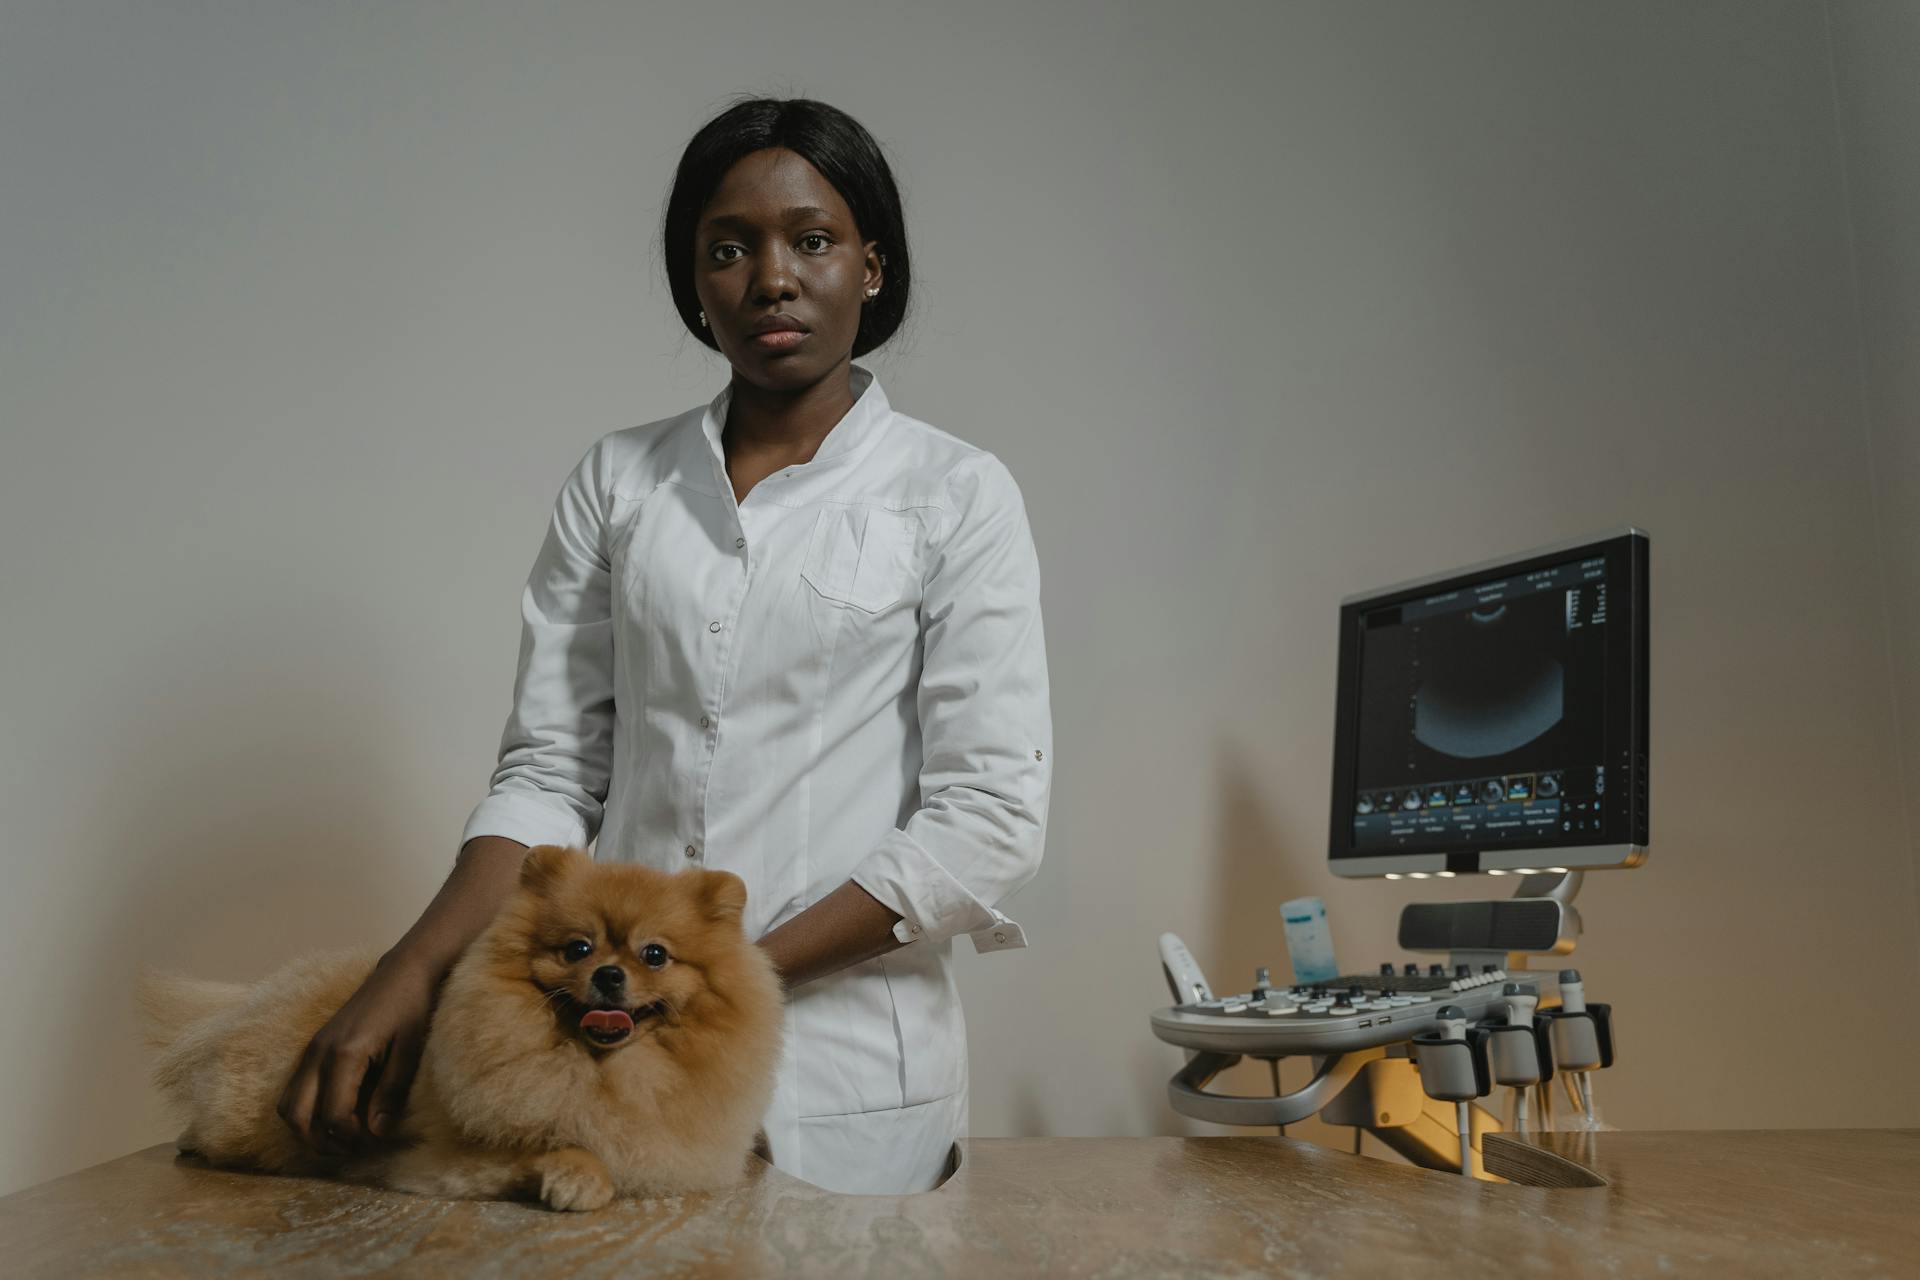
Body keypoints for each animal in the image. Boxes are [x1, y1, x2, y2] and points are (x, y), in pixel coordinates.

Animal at [135, 844, 783, 1220]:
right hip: (251, 1119)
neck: (603, 1070)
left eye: (655, 955)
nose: (608, 974)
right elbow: (560, 1144)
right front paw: (576, 1177)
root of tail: (265, 995)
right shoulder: (446, 1159)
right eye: (578, 948)